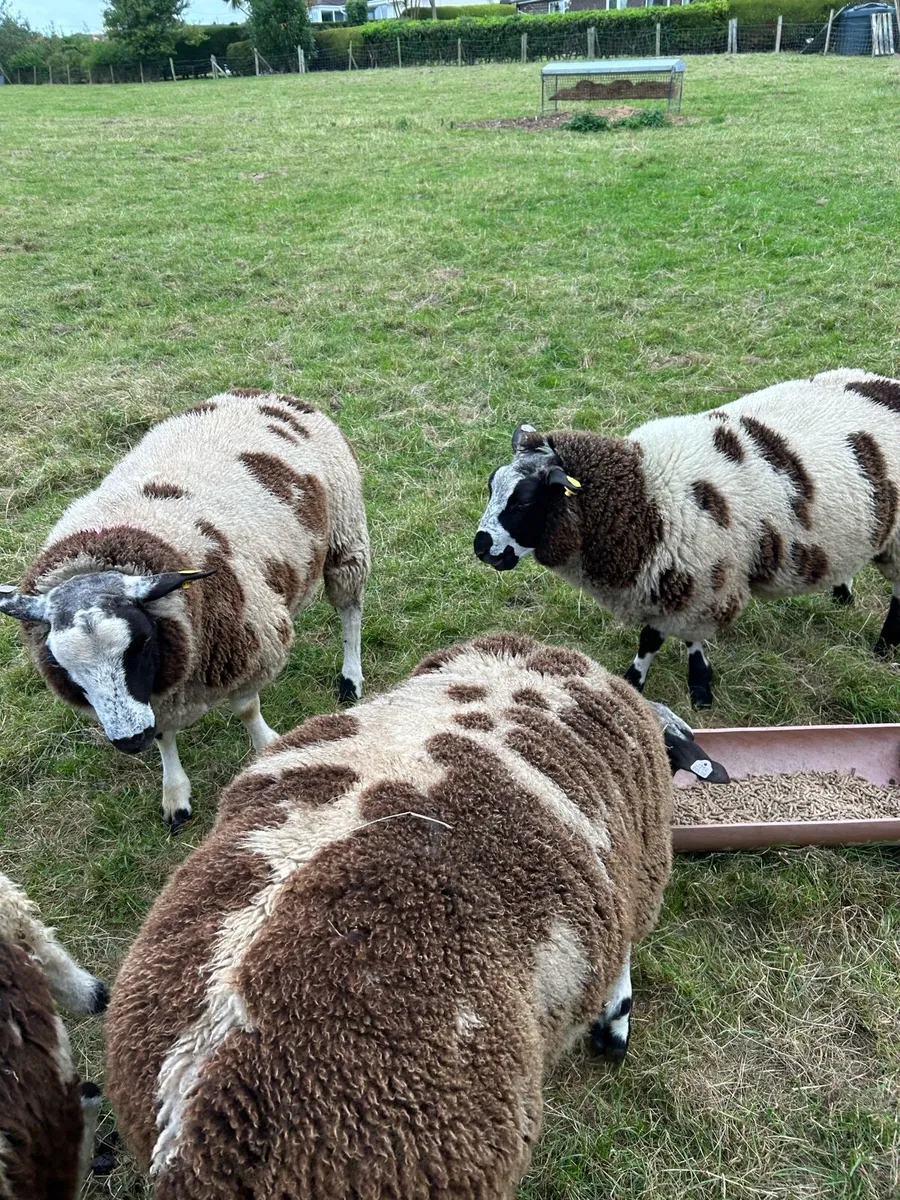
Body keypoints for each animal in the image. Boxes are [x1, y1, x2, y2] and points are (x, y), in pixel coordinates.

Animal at [0, 389, 370, 830]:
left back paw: (350, 677)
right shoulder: (158, 694)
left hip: (345, 536)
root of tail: (262, 393)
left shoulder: (248, 646)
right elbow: (164, 737)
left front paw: (265, 745)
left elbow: (247, 708)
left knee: (349, 611)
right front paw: (175, 795)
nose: (130, 740)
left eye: (140, 643)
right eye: (61, 664)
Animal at [474, 369, 900, 707]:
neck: (644, 495)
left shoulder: (703, 581)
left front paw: (694, 687)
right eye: (491, 485)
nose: (482, 547)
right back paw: (842, 593)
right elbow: (657, 640)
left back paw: (885, 647)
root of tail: (885, 383)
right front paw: (640, 682)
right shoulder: (676, 581)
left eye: (525, 501)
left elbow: (660, 639)